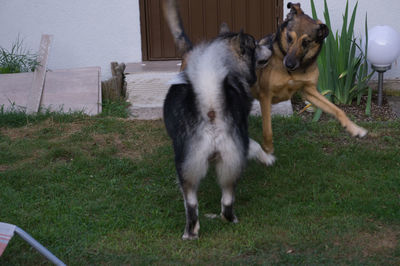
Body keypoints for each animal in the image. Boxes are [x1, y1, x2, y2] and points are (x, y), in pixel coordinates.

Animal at [162, 0, 276, 239]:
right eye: (254, 44)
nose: (270, 42)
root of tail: (211, 109)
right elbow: (254, 144)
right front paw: (267, 158)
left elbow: (254, 145)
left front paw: (267, 158)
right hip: (226, 164)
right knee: (223, 202)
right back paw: (214, 224)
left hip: (194, 167)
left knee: (196, 204)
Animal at [252, 2, 368, 156]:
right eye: (289, 38)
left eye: (306, 42)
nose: (288, 64)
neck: (294, 71)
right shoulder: (265, 95)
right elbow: (267, 129)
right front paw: (268, 150)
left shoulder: (309, 91)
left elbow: (337, 110)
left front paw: (355, 129)